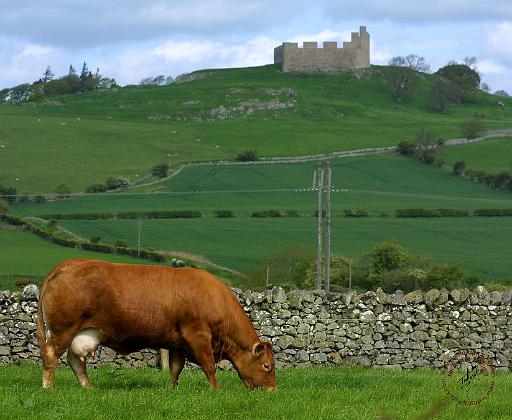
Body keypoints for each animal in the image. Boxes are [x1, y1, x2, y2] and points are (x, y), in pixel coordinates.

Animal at [36, 260, 276, 390]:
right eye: (267, 366)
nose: (272, 390)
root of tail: (71, 263)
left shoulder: (178, 343)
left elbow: (175, 368)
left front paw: (172, 389)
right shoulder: (198, 335)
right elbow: (209, 366)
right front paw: (215, 390)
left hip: (82, 334)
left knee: (75, 361)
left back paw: (88, 388)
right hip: (62, 330)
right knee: (51, 355)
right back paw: (48, 387)